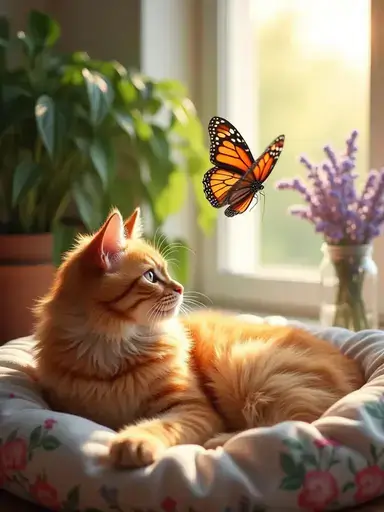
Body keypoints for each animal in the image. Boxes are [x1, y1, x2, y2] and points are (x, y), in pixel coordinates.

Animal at [33, 207, 366, 468]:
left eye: (166, 271)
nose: (180, 287)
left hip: (253, 370)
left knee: (291, 425)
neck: (115, 349)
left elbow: (161, 426)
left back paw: (219, 441)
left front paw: (134, 442)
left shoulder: (193, 407)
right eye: (151, 276)